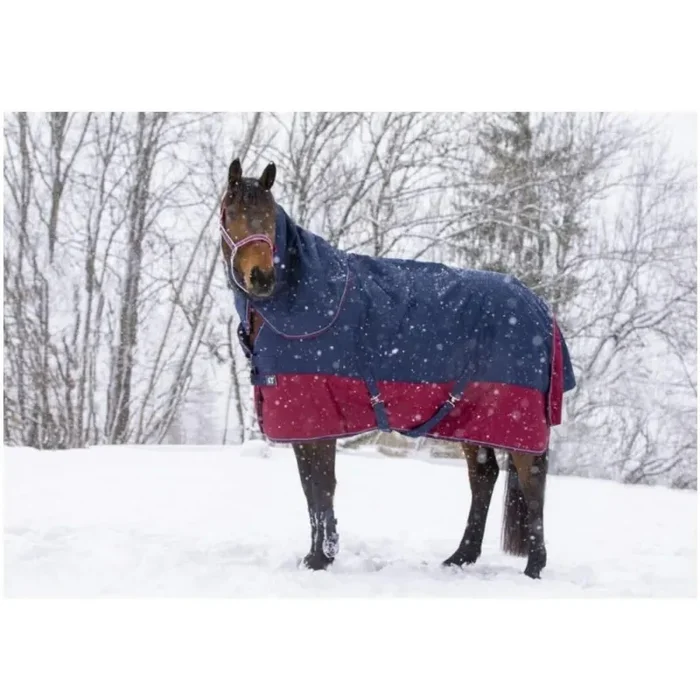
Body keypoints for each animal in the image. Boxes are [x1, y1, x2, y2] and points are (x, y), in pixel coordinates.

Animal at [219, 157, 576, 579]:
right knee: (483, 477)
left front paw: (320, 559)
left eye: (270, 216)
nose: (261, 278)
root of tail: (541, 308)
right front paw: (317, 556)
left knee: (531, 480)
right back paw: (460, 557)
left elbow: (321, 487)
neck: (303, 300)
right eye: (232, 214)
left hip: (513, 418)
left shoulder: (313, 420)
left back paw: (533, 568)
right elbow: (312, 490)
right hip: (473, 420)